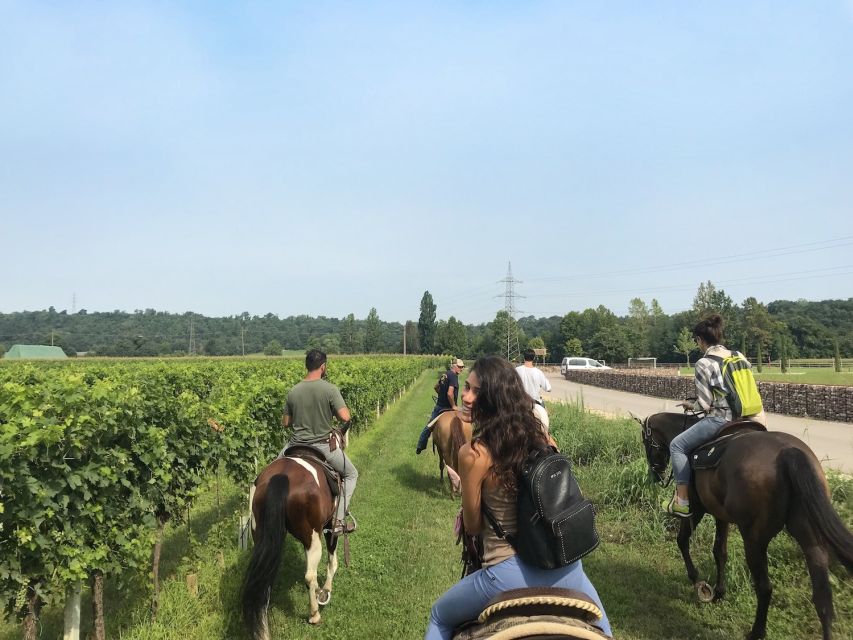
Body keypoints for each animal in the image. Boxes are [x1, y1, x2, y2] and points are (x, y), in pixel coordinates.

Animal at [240, 452, 340, 636]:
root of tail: (281, 476)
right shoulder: (331, 524)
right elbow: (331, 561)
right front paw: (326, 591)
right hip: (313, 538)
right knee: (310, 575)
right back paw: (314, 615)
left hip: (261, 538)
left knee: (263, 583)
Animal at [636, 410, 852, 640]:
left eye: (646, 441)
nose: (656, 473)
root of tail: (788, 454)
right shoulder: (721, 515)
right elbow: (720, 552)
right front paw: (719, 592)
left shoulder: (696, 507)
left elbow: (682, 540)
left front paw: (697, 581)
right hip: (810, 539)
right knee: (823, 598)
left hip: (753, 539)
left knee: (765, 587)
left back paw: (756, 631)